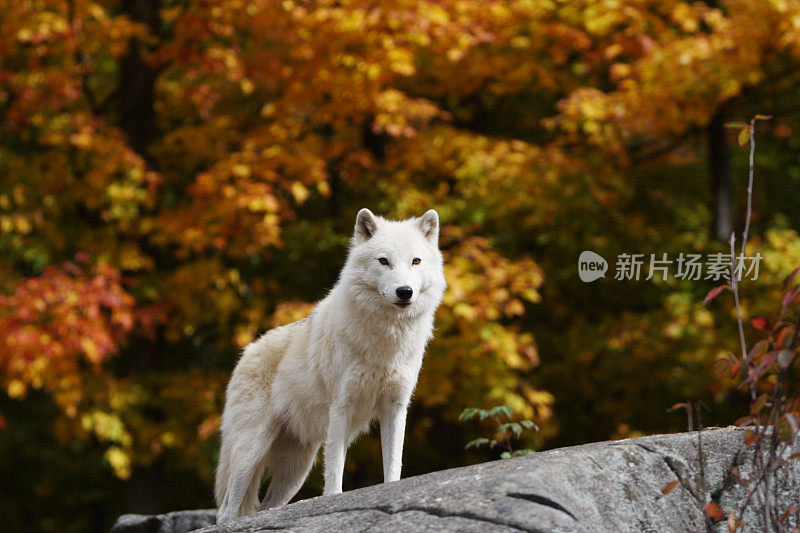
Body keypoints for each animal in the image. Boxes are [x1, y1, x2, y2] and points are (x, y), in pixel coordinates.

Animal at [216, 208, 446, 524]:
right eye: (384, 261)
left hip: (296, 470)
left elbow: (393, 465)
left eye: (415, 261)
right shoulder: (341, 407)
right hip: (250, 453)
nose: (404, 292)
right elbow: (335, 471)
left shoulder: (395, 408)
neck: (385, 340)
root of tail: (246, 352)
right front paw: (335, 500)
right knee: (226, 512)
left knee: (266, 508)